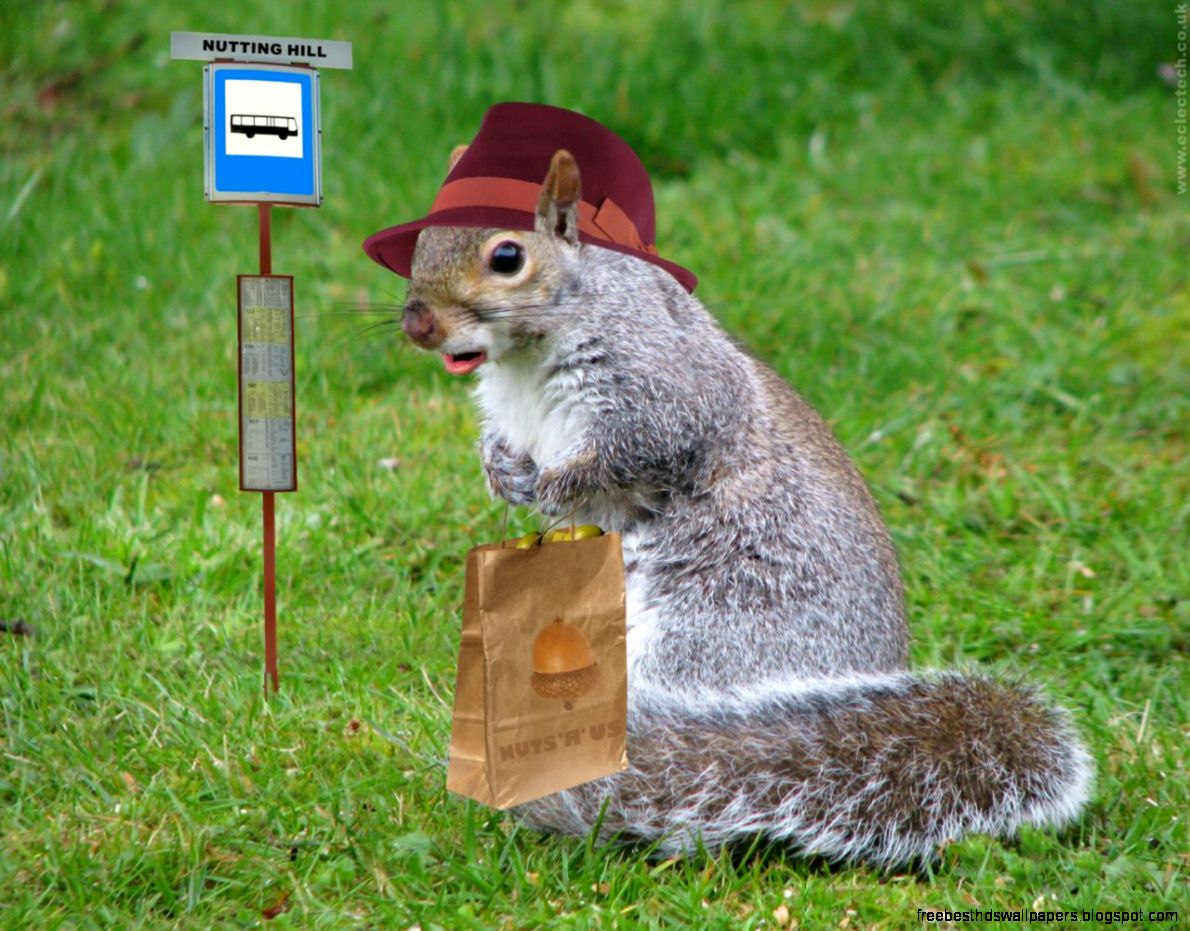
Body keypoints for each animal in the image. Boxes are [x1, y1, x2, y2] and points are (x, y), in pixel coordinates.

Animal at [398, 146, 1093, 865]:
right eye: (420, 244)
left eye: (507, 257)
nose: (417, 323)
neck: (524, 360)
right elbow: (502, 445)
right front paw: (502, 471)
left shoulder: (664, 389)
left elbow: (640, 447)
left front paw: (557, 485)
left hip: (713, 635)